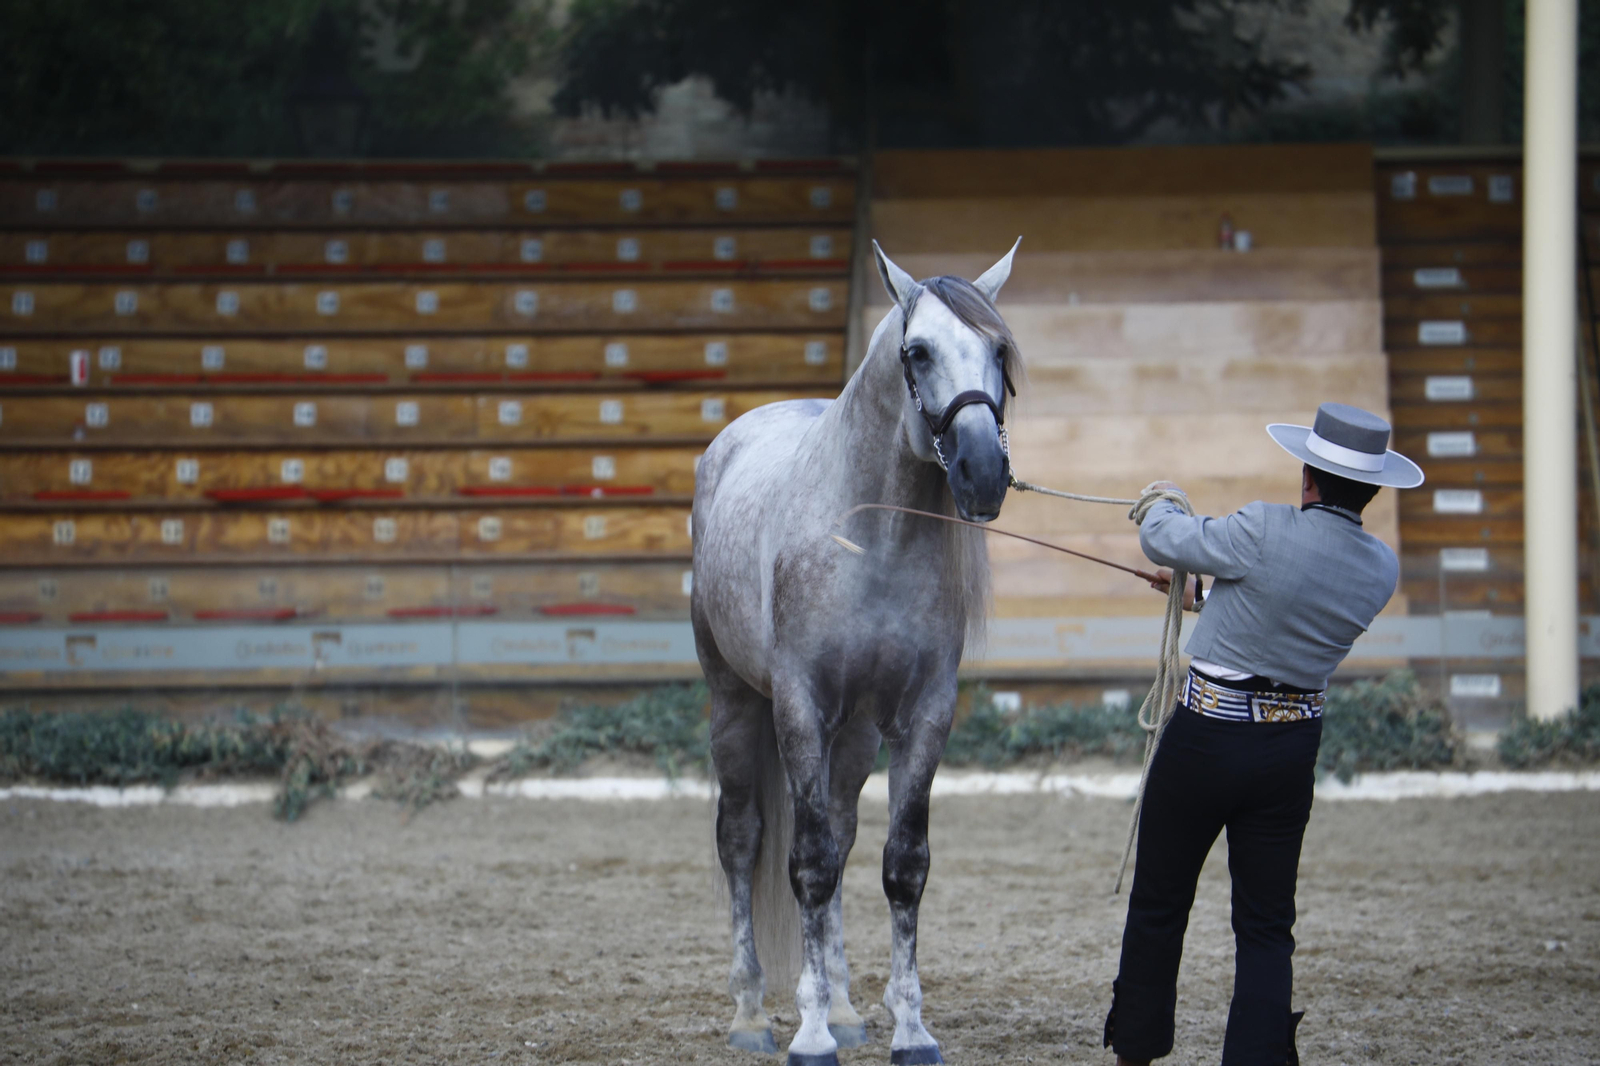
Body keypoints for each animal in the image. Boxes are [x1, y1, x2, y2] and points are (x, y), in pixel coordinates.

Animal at [690, 238, 1023, 1066]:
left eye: (999, 351)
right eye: (917, 351)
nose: (983, 473)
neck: (874, 542)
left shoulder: (923, 716)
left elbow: (901, 866)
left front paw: (909, 1028)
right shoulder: (801, 710)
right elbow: (806, 865)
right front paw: (808, 1037)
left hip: (857, 735)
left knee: (841, 837)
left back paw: (841, 1007)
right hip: (736, 706)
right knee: (742, 841)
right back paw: (754, 1015)